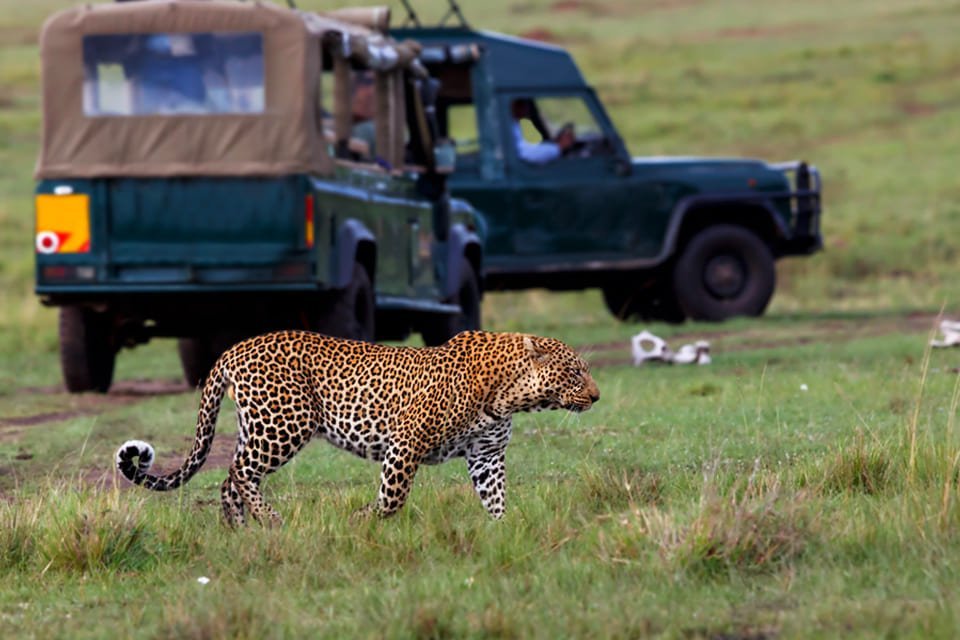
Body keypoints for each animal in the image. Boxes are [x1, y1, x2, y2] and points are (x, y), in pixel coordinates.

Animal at [116, 330, 596, 524]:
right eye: (574, 372)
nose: (596, 397)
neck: (510, 395)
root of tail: (232, 350)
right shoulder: (406, 444)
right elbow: (393, 498)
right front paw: (362, 520)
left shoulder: (487, 456)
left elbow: (496, 500)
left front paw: (505, 532)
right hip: (285, 425)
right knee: (239, 472)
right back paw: (270, 520)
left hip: (258, 425)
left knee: (229, 477)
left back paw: (239, 529)